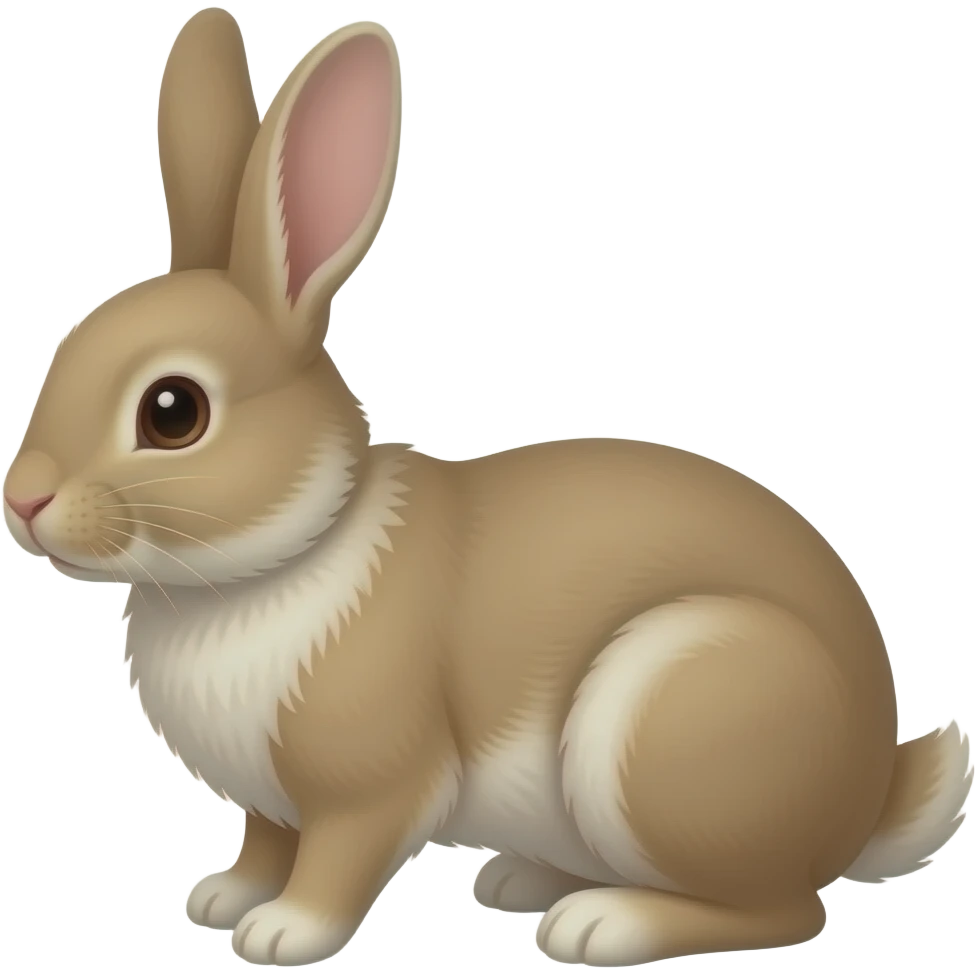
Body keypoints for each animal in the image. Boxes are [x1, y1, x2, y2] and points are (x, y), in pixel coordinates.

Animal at [2, 8, 971, 969]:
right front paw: (222, 895)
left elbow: (338, 858)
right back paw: (523, 879)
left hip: (670, 716)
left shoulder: (373, 784)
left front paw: (282, 932)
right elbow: (265, 842)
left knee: (783, 908)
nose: (23, 500)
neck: (281, 551)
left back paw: (601, 924)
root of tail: (866, 795)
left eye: (173, 410)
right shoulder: (270, 802)